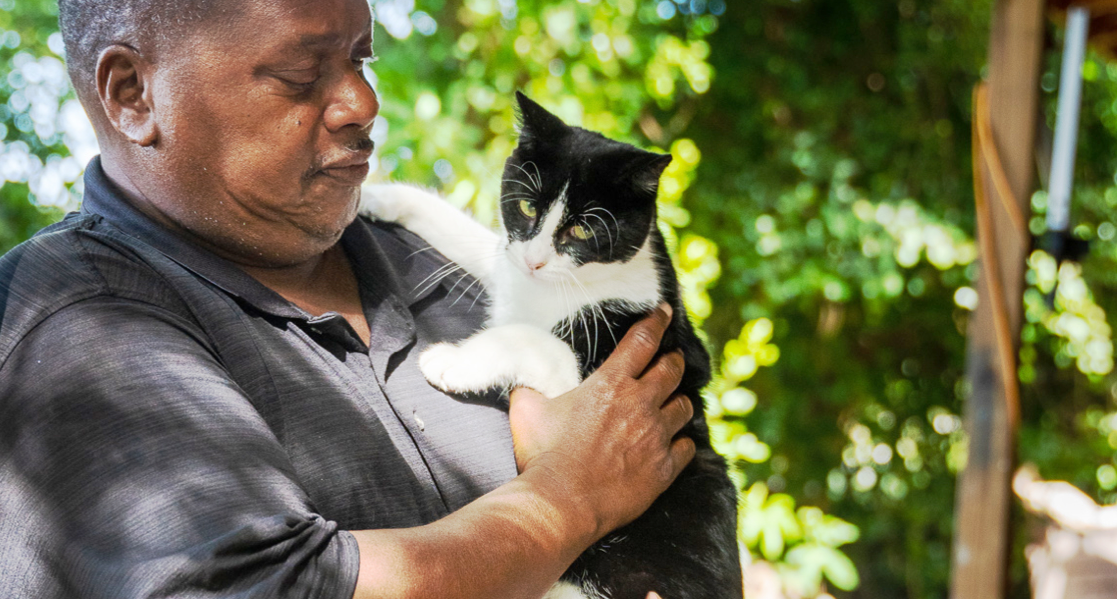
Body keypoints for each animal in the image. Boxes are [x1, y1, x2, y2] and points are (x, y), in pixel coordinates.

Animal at [359, 93, 741, 599]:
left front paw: (450, 360)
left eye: (583, 231)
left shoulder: (598, 366)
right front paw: (374, 197)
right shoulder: (509, 265)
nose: (536, 261)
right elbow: (472, 237)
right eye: (526, 205)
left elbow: (534, 339)